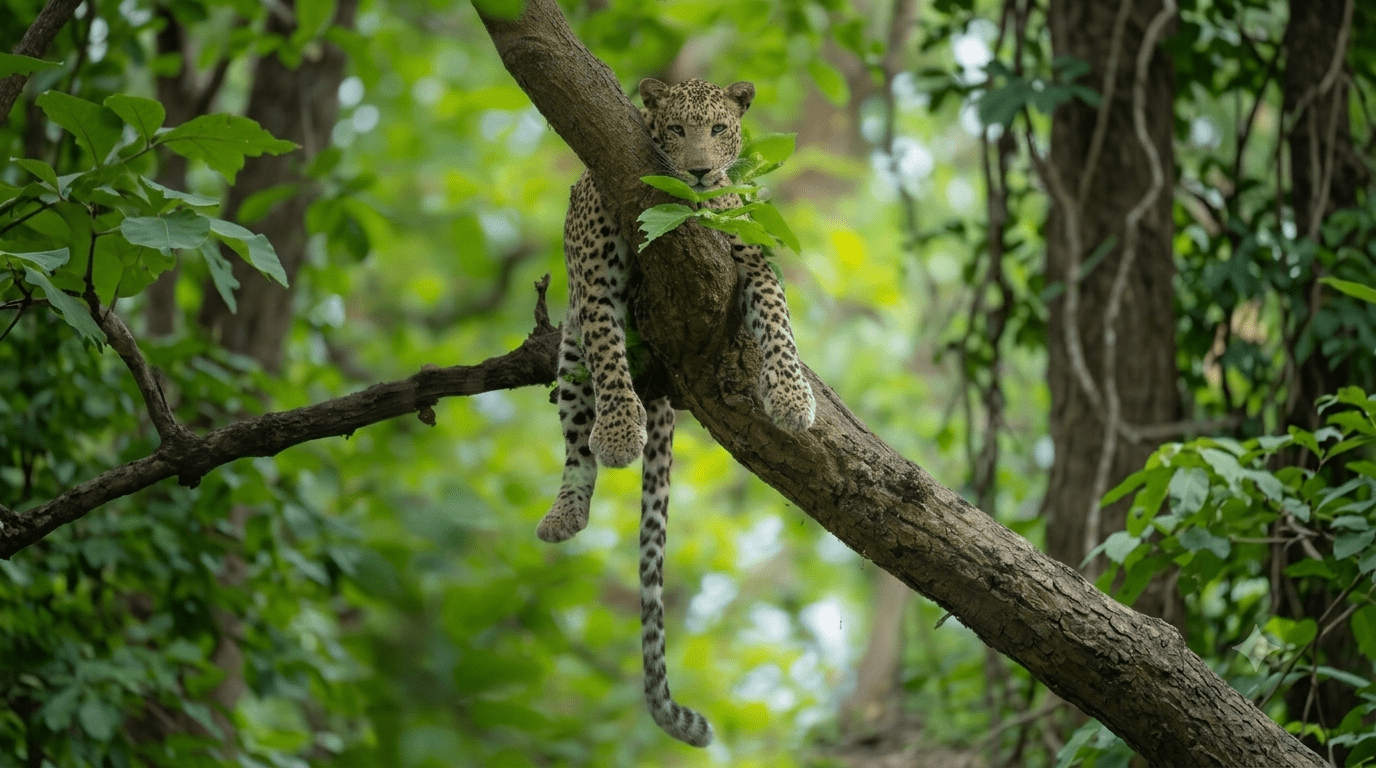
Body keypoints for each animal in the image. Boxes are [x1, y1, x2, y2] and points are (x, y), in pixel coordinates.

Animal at [536, 77, 815, 747]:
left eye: (719, 130)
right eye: (677, 130)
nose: (700, 171)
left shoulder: (750, 254)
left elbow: (778, 323)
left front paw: (792, 398)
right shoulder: (595, 280)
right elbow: (609, 353)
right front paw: (618, 431)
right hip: (569, 349)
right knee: (578, 427)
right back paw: (568, 505)